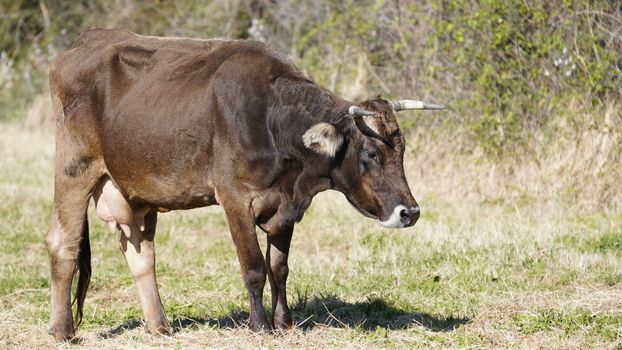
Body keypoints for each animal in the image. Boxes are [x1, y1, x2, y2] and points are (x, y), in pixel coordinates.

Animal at [45, 28, 444, 340]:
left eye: (402, 152)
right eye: (371, 153)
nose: (409, 212)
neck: (273, 120)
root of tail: (89, 40)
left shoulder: (286, 207)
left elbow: (279, 268)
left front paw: (285, 324)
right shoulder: (235, 199)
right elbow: (253, 268)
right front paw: (260, 326)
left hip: (135, 188)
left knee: (141, 253)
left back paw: (160, 327)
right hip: (74, 169)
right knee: (63, 243)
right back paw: (63, 330)